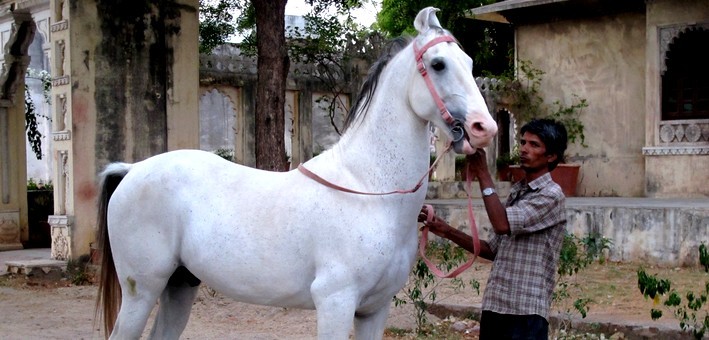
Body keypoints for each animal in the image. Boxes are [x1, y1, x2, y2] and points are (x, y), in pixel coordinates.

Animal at [94, 6, 496, 338]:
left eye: (469, 62)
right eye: (439, 64)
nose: (484, 128)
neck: (368, 191)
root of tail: (131, 170)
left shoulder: (374, 310)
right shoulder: (335, 303)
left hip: (179, 286)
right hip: (142, 291)